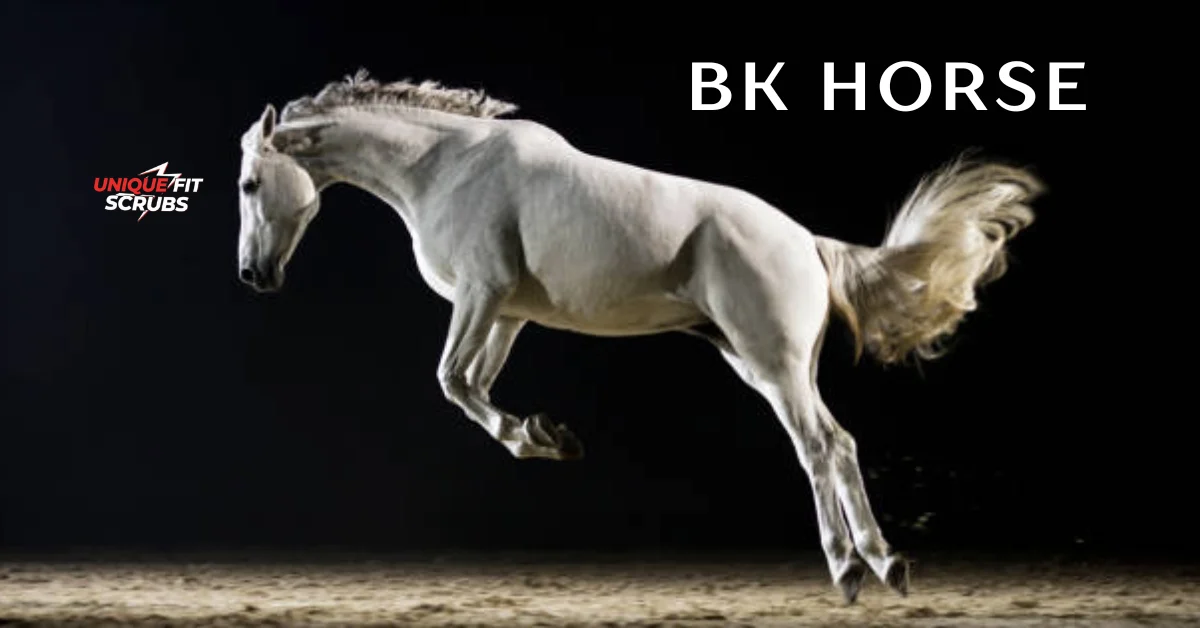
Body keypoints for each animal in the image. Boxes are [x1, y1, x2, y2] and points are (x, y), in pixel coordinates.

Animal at [236, 69, 1042, 604]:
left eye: (248, 184)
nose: (252, 275)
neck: (447, 167)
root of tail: (807, 243)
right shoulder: (506, 312)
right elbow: (475, 386)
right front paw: (547, 435)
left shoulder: (479, 295)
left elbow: (452, 381)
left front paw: (543, 436)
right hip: (762, 364)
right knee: (838, 444)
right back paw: (881, 565)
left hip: (773, 363)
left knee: (820, 446)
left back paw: (851, 569)